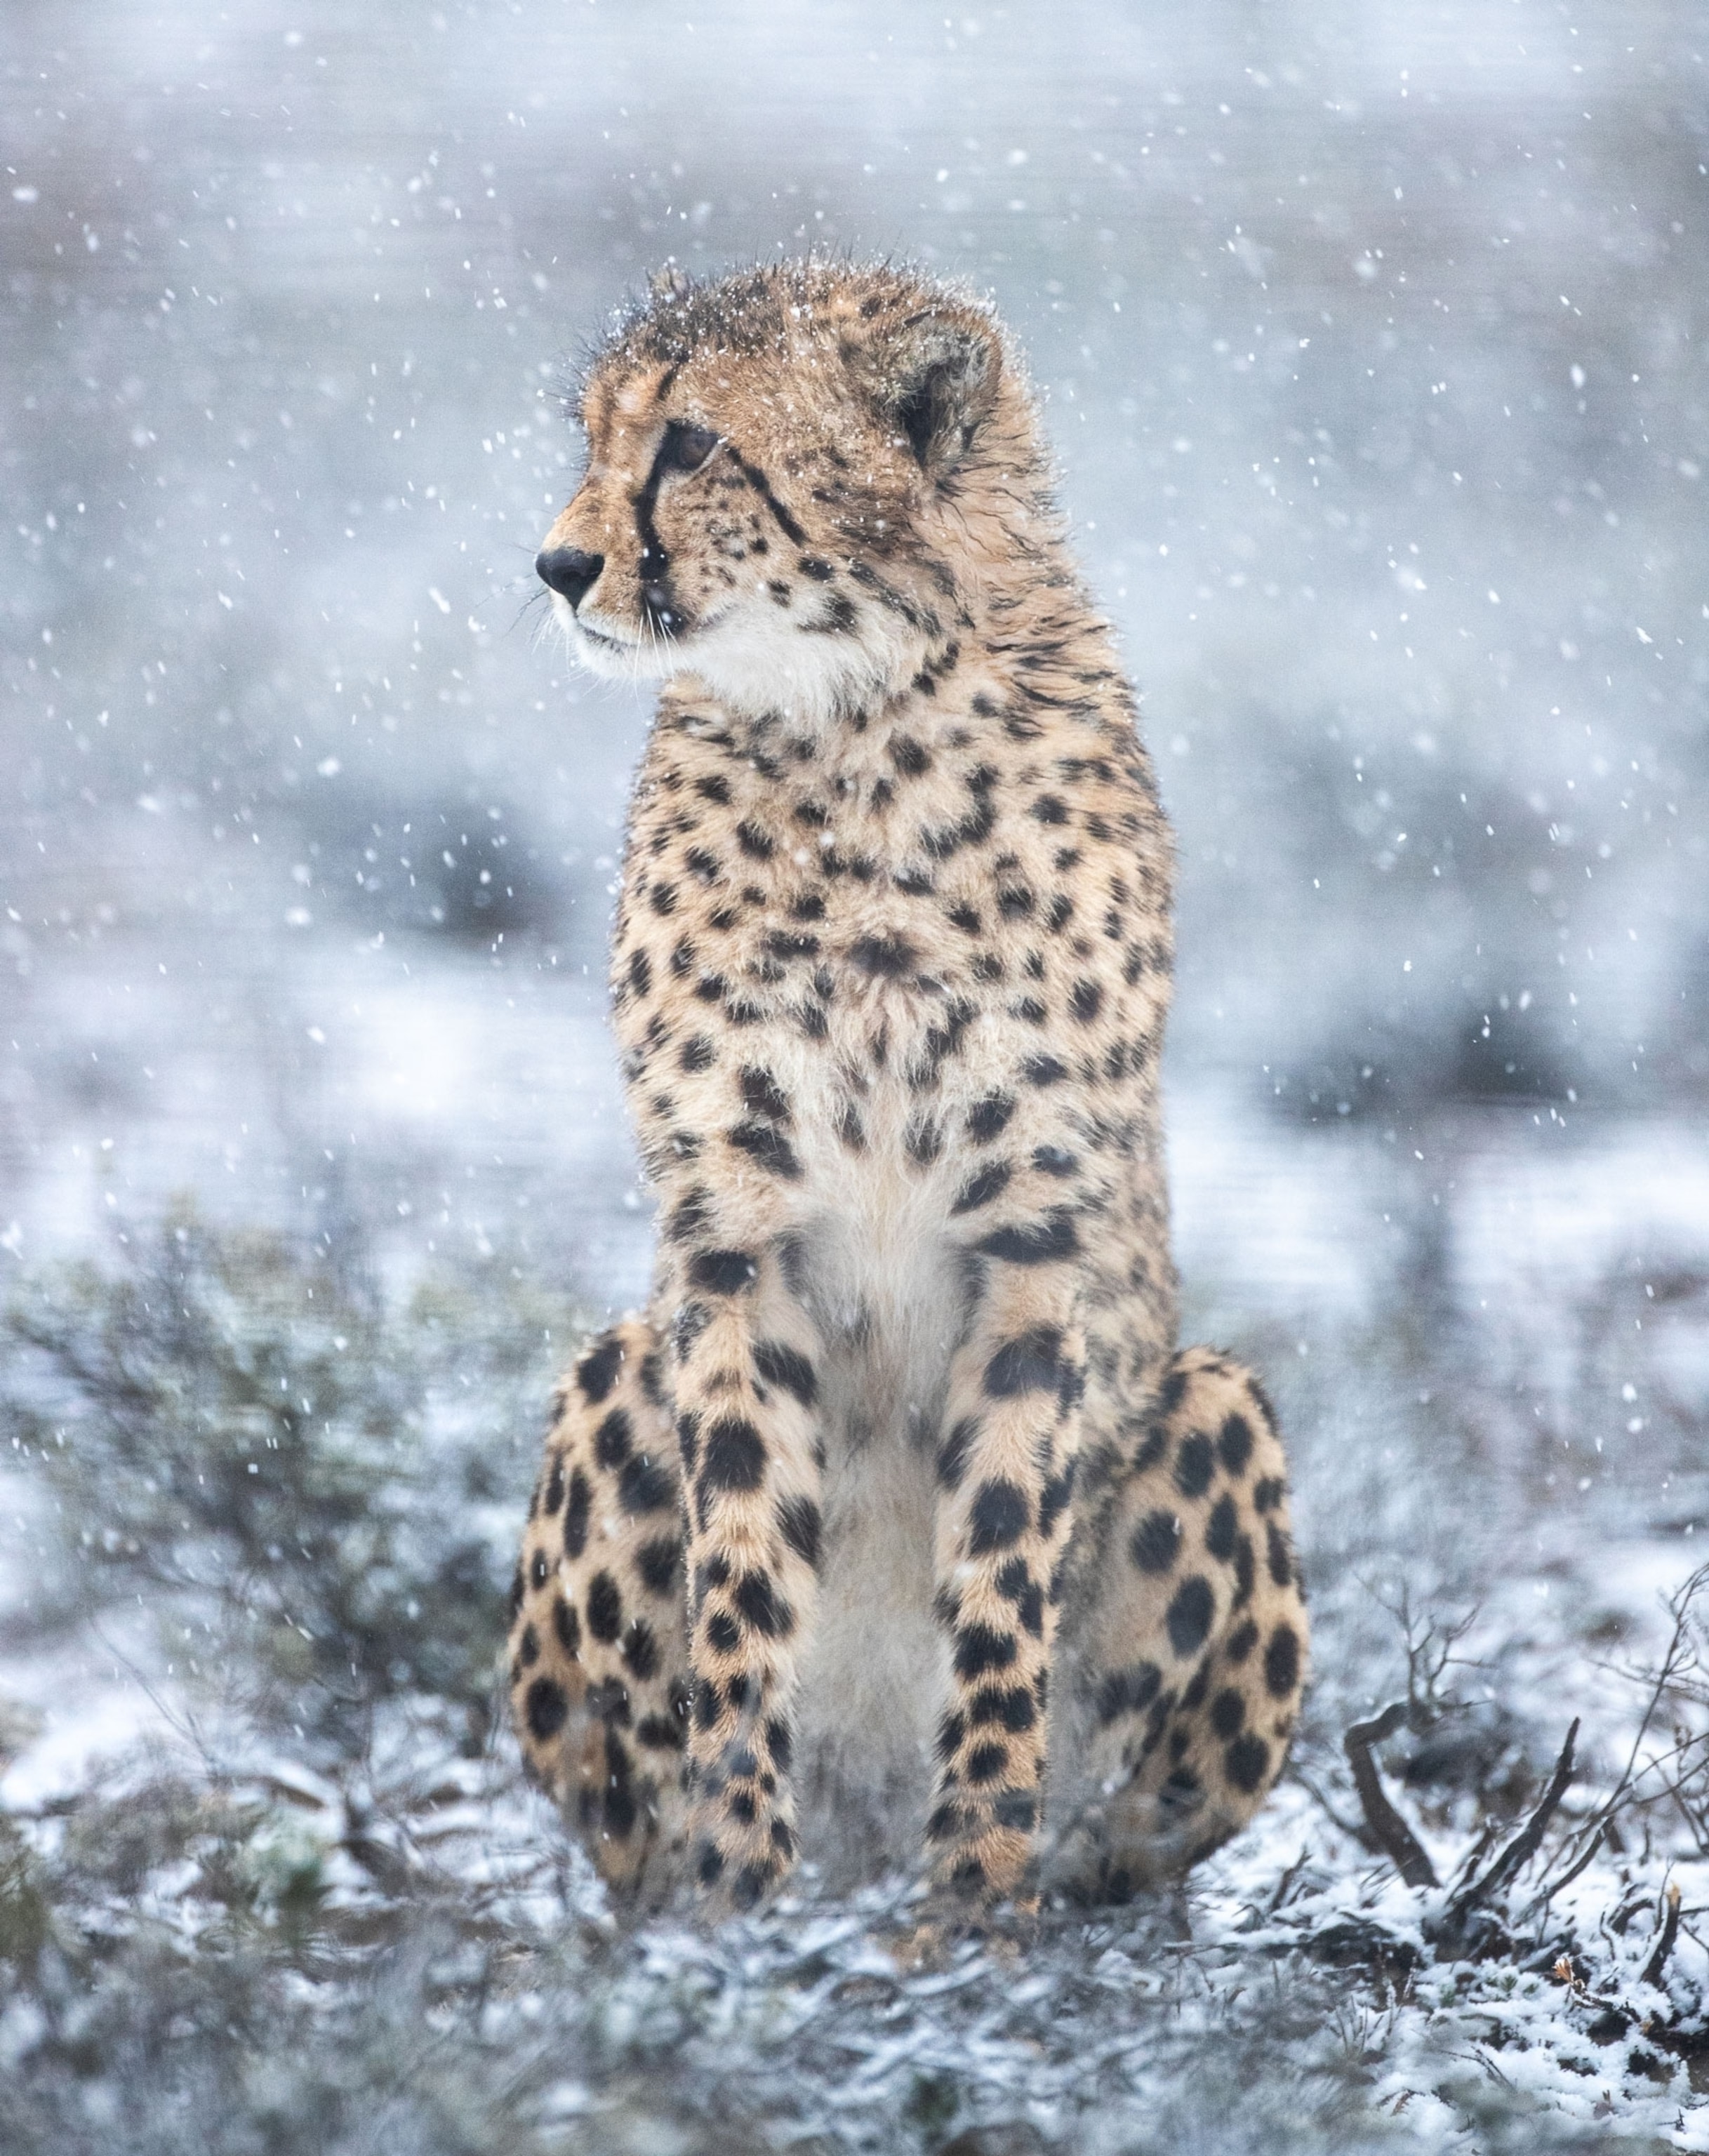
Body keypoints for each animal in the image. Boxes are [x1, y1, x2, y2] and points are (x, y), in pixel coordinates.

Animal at [506, 258, 1308, 1920]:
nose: (557, 564)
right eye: (594, 436)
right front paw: (739, 1905)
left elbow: (998, 1574)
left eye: (689, 445)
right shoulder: (735, 1242)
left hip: (1219, 1410)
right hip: (616, 1373)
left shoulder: (1035, 1247)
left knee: (1128, 1841)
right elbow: (746, 1572)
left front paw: (971, 1906)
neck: (854, 723)